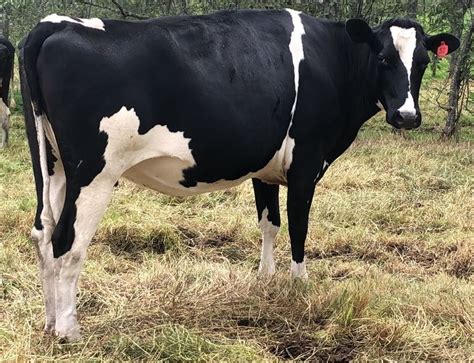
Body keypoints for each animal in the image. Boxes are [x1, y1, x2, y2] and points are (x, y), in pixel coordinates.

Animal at [19, 10, 460, 342]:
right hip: (93, 171)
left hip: (53, 165)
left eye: (423, 62)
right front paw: (299, 285)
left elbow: (269, 222)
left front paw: (265, 280)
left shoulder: (265, 166)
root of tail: (55, 24)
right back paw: (69, 331)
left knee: (43, 233)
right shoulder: (306, 162)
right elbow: (298, 226)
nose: (406, 116)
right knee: (67, 242)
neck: (333, 60)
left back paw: (49, 323)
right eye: (383, 58)